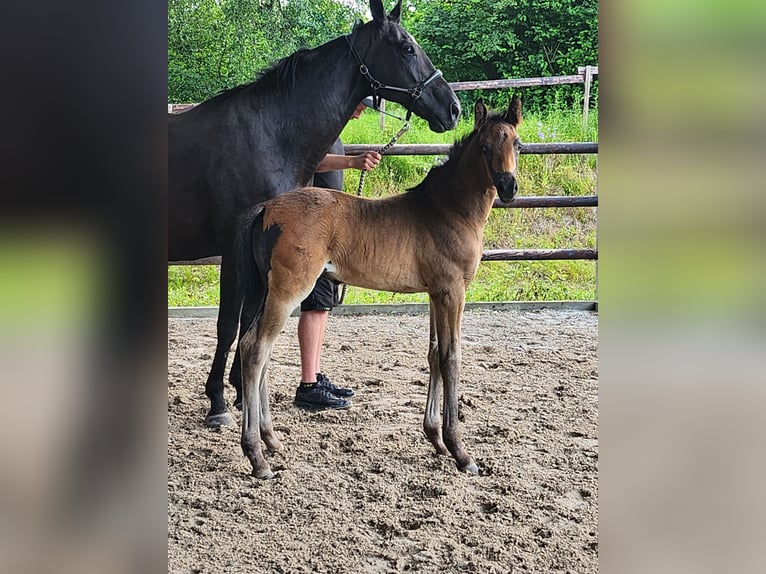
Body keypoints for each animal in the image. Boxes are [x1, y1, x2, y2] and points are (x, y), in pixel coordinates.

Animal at [168, 0, 461, 428]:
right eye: (407, 48)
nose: (453, 108)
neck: (270, 133)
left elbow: (249, 321)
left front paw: (241, 394)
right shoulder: (233, 251)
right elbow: (227, 326)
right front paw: (218, 403)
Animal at [234, 96, 522, 478]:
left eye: (517, 144)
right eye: (484, 147)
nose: (508, 187)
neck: (448, 210)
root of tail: (267, 209)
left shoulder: (435, 293)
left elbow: (433, 354)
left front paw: (435, 438)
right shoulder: (453, 292)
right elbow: (451, 358)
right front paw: (461, 452)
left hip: (269, 292)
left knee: (256, 350)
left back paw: (271, 440)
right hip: (287, 290)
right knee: (255, 350)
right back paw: (257, 456)